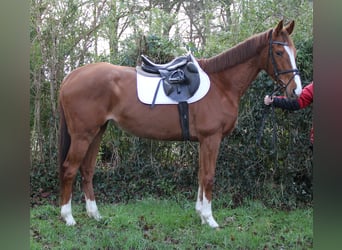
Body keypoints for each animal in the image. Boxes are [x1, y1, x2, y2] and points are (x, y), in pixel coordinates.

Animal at [58, 20, 302, 227]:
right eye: (279, 52)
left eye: (295, 52)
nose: (296, 91)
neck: (221, 84)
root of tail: (70, 76)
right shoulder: (211, 138)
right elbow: (208, 176)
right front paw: (210, 219)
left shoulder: (204, 141)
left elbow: (201, 175)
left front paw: (201, 214)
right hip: (83, 135)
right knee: (69, 169)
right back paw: (68, 217)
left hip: (97, 132)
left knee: (87, 170)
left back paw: (95, 214)